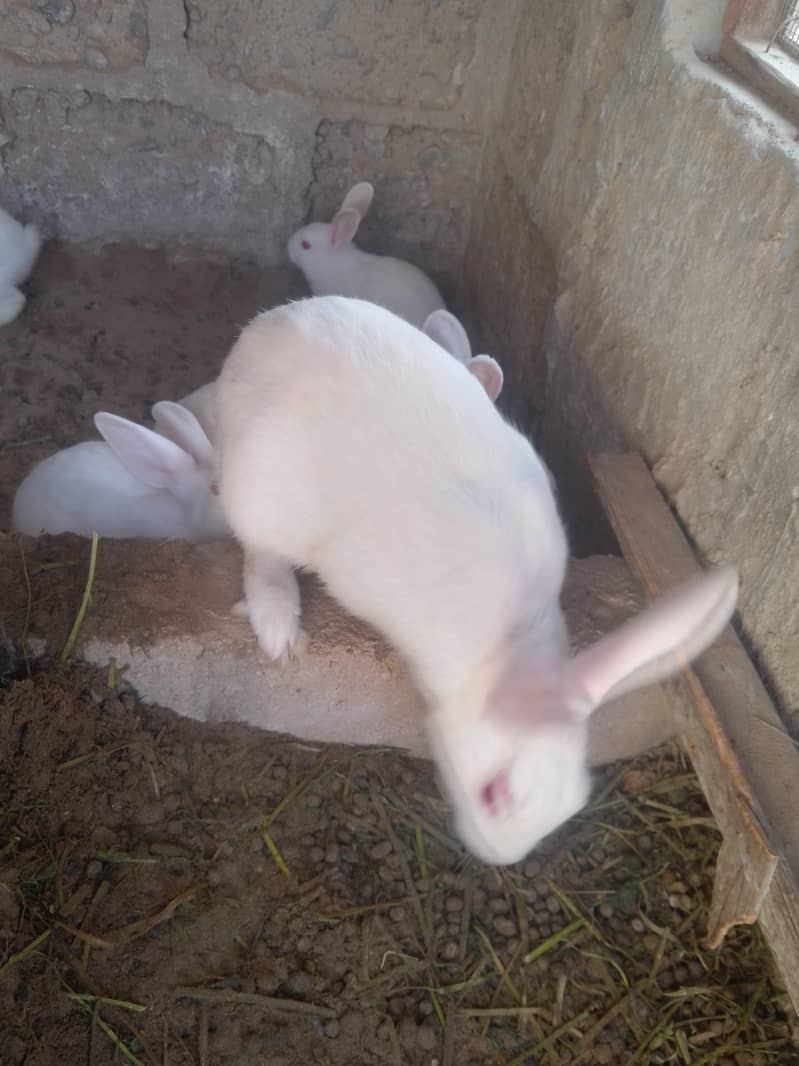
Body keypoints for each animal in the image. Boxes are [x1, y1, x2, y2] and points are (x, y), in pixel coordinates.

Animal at [213, 295, 739, 866]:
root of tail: (258, 335)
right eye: (493, 793)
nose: (499, 859)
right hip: (261, 494)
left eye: (572, 807)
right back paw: (279, 628)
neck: (504, 650)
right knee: (260, 555)